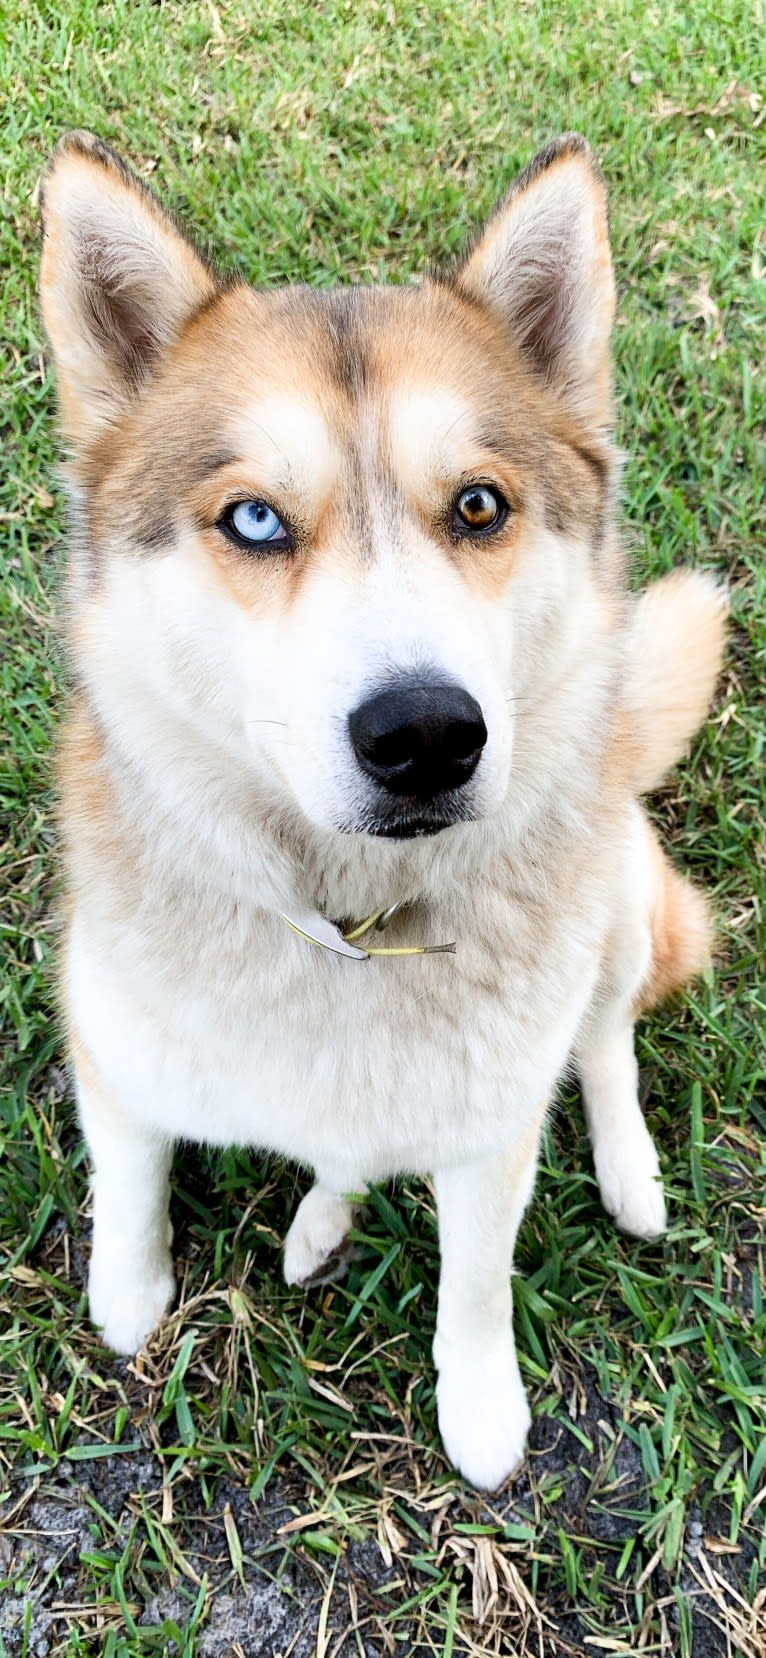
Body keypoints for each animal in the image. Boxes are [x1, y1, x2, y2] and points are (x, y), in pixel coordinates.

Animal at [40, 129, 722, 1492]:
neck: (352, 931)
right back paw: (321, 1216)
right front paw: (128, 1292)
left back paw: (628, 1170)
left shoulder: (492, 1133)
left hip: (621, 893)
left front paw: (481, 1404)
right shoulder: (109, 1040)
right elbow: (128, 1178)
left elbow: (475, 1282)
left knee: (605, 1036)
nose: (425, 734)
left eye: (479, 505)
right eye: (254, 517)